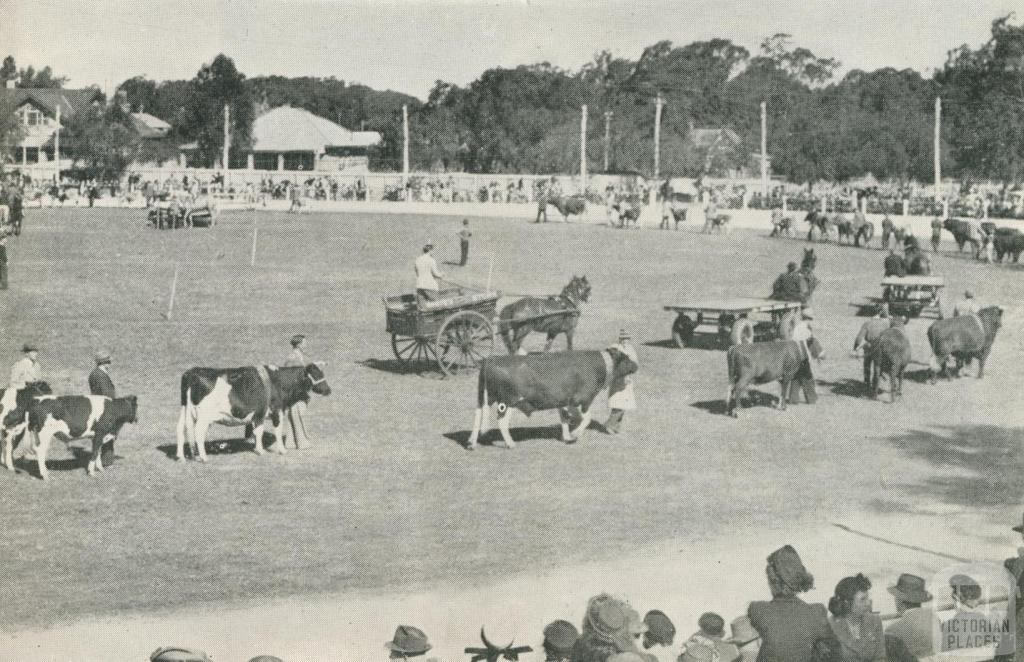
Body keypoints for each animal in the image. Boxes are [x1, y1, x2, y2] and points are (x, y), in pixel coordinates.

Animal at [174, 362, 329, 461]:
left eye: (322, 372)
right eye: (316, 374)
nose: (329, 390)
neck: (277, 381)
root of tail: (192, 372)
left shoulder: (258, 414)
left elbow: (256, 432)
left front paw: (257, 449)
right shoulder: (276, 410)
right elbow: (275, 431)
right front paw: (279, 450)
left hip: (184, 409)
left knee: (180, 429)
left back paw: (180, 457)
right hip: (204, 416)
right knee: (198, 433)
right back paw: (204, 457)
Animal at [466, 348, 638, 450]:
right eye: (626, 357)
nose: (636, 365)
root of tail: (491, 359)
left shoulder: (564, 401)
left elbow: (565, 418)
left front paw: (567, 436)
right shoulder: (582, 399)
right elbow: (587, 418)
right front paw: (575, 434)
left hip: (483, 398)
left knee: (477, 415)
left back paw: (471, 443)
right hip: (508, 401)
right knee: (501, 421)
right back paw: (510, 443)